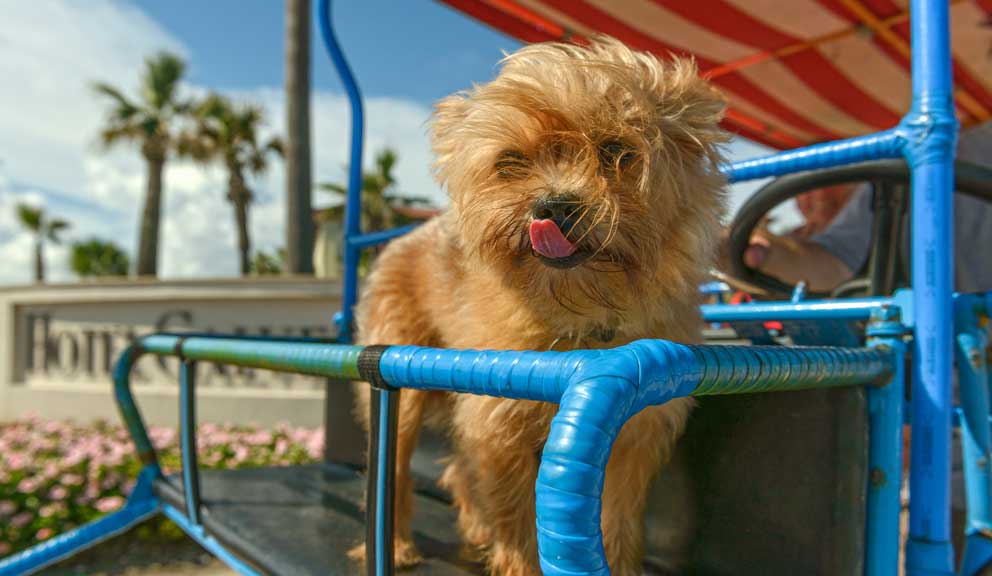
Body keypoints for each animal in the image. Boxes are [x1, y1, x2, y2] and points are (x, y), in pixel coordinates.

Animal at [352, 38, 724, 572]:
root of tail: (402, 238)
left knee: (459, 470)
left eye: (617, 151)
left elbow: (618, 517)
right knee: (395, 465)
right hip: (403, 389)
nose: (553, 205)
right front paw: (518, 560)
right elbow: (517, 514)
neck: (580, 319)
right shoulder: (498, 422)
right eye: (510, 162)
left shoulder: (633, 436)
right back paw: (398, 546)